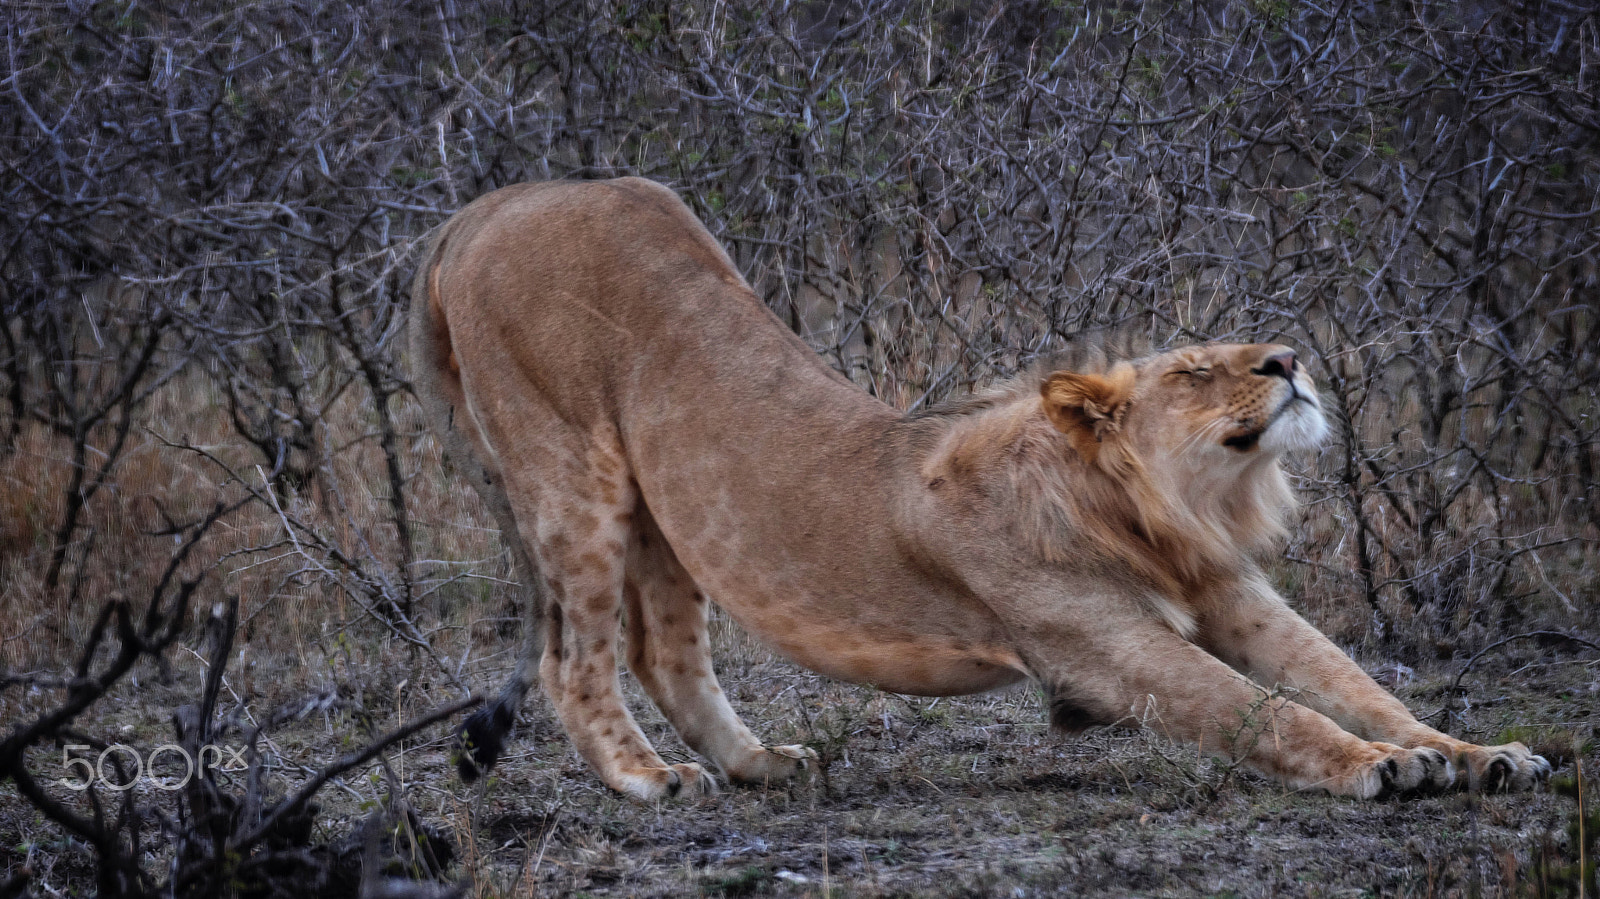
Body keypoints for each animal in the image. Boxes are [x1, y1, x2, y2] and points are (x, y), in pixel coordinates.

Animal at [409, 175, 1548, 796]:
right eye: (1194, 369)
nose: (1292, 358)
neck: (1167, 514)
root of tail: (489, 204)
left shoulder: (1234, 595)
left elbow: (1355, 683)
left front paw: (1478, 750)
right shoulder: (1102, 644)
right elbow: (1268, 713)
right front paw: (1376, 767)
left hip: (666, 505)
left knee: (667, 650)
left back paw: (757, 763)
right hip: (570, 472)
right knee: (573, 657)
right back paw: (647, 776)